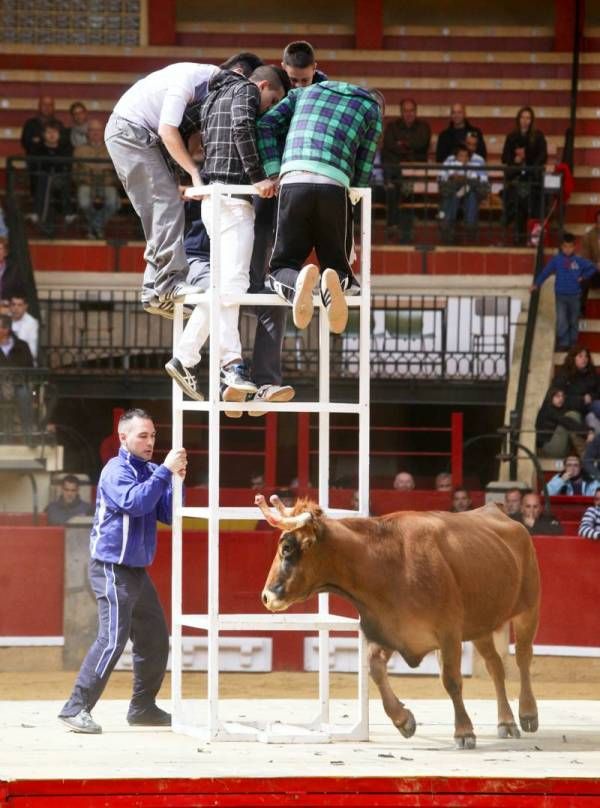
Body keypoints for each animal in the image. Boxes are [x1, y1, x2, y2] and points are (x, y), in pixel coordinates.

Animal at [255, 492, 540, 752]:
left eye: (286, 548)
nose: (266, 596)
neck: (388, 564)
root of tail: (496, 509)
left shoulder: (449, 633)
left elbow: (451, 680)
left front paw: (464, 731)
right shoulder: (391, 629)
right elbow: (375, 668)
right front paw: (403, 720)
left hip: (528, 609)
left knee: (523, 657)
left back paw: (527, 714)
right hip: (480, 624)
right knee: (495, 665)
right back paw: (506, 722)